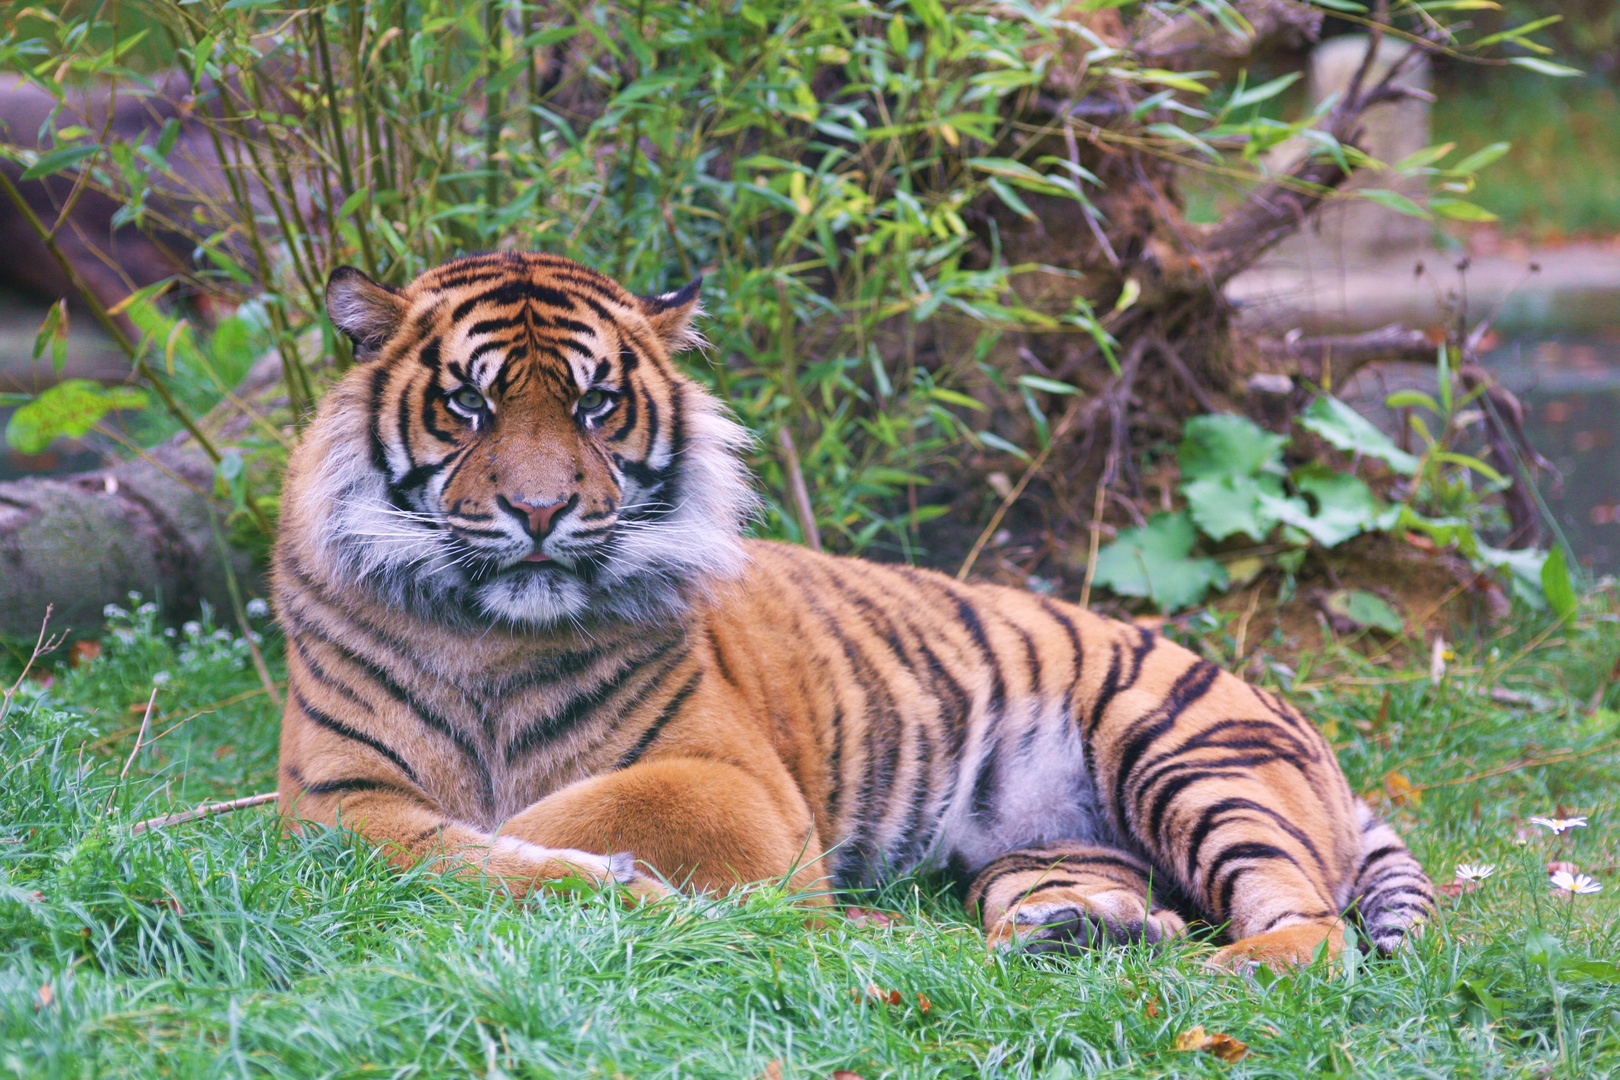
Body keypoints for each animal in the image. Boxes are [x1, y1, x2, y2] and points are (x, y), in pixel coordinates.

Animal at [272, 254, 1438, 971]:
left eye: (597, 405)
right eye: (468, 405)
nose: (540, 509)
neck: (492, 637)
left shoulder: (735, 787)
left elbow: (548, 821)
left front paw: (631, 884)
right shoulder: (329, 795)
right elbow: (433, 849)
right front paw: (607, 886)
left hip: (1187, 755)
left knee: (1311, 924)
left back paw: (1218, 974)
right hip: (1054, 847)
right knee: (1099, 902)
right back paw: (1080, 936)